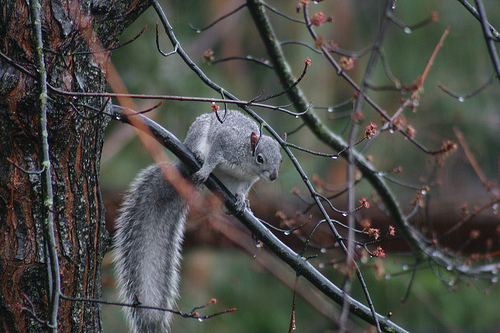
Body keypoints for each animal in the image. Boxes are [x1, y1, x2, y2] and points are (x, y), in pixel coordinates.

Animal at [114, 110, 284, 330]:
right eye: (260, 158)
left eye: (281, 160)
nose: (273, 176)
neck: (247, 165)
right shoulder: (226, 142)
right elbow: (214, 155)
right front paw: (205, 168)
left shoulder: (244, 180)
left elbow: (242, 190)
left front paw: (241, 200)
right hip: (200, 131)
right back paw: (198, 156)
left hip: (227, 181)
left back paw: (233, 205)